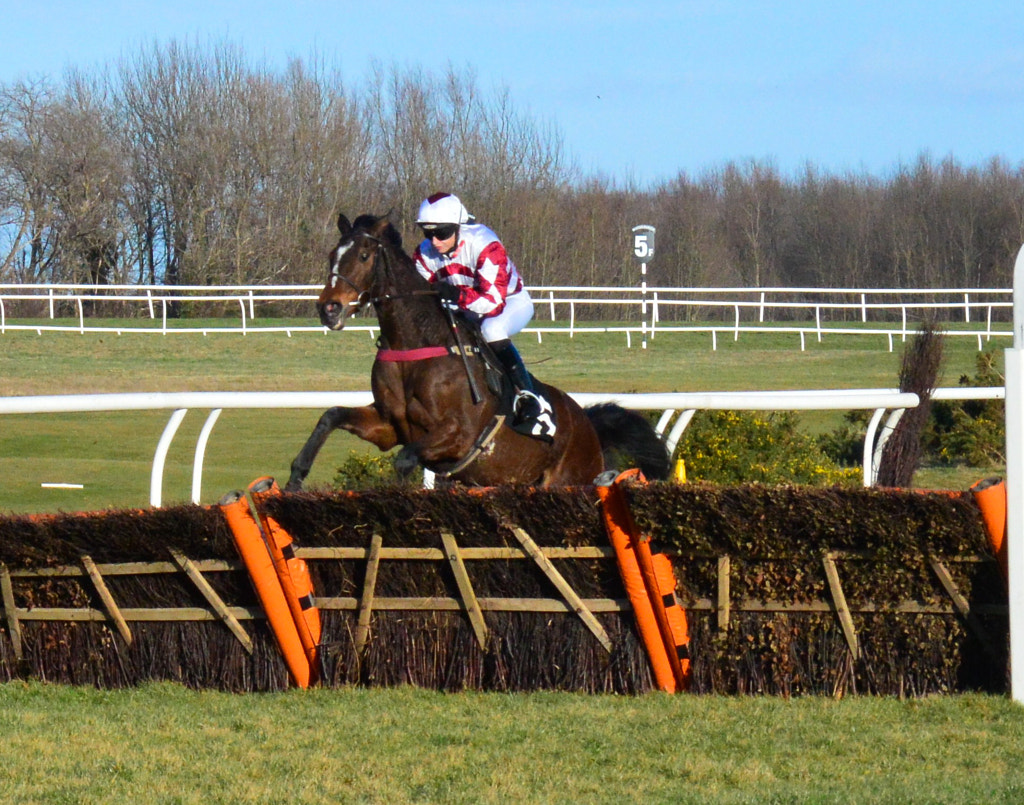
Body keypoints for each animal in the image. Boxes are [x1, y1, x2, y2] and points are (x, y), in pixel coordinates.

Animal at [288, 212, 671, 489]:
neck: (416, 345)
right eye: (332, 255)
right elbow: (331, 416)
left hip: (566, 479)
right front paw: (295, 477)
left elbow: (404, 460)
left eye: (365, 255)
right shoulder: (388, 425)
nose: (329, 308)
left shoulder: (459, 434)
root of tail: (587, 424)